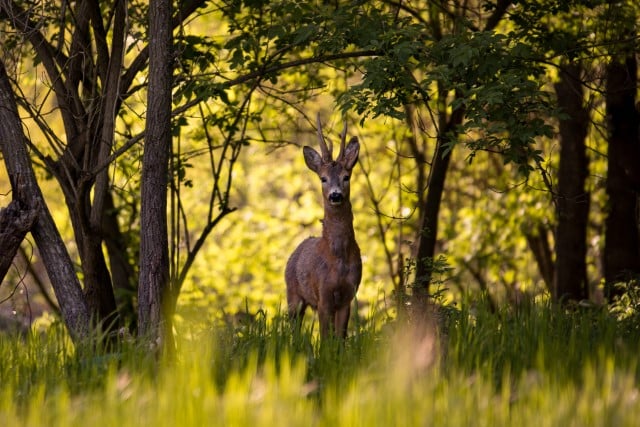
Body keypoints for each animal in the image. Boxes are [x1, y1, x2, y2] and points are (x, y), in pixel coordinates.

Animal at [284, 114, 360, 342]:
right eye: (323, 178)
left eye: (346, 177)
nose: (335, 195)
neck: (338, 259)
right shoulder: (323, 294)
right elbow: (326, 338)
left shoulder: (348, 295)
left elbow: (339, 338)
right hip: (293, 294)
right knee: (293, 329)